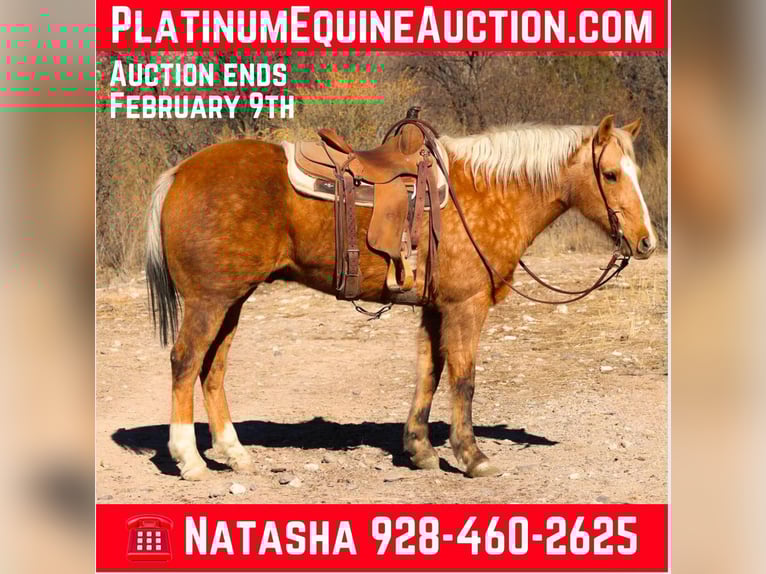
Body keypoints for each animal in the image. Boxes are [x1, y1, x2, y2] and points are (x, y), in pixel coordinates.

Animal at [145, 114, 657, 480]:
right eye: (611, 174)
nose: (646, 242)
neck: (486, 192)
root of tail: (178, 173)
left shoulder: (435, 309)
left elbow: (429, 373)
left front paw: (420, 450)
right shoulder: (465, 307)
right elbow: (464, 379)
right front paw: (472, 456)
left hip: (232, 300)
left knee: (213, 369)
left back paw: (233, 453)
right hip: (209, 301)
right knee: (185, 362)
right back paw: (189, 459)